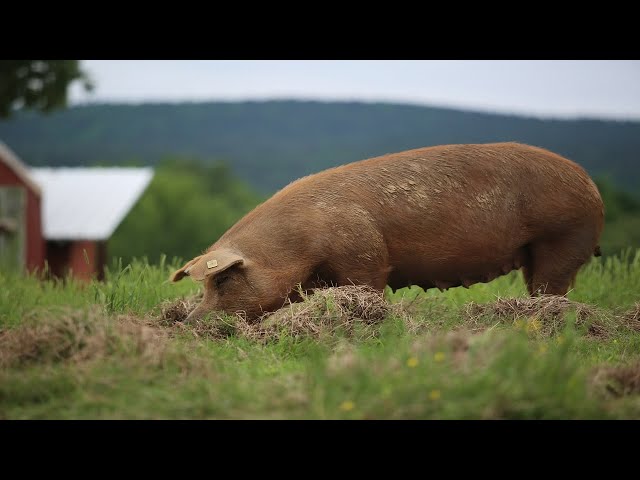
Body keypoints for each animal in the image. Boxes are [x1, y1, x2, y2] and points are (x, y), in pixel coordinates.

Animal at [171, 142, 604, 322]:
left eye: (223, 279)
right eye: (205, 285)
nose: (189, 322)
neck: (299, 245)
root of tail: (590, 183)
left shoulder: (364, 252)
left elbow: (369, 283)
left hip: (564, 237)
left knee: (552, 284)